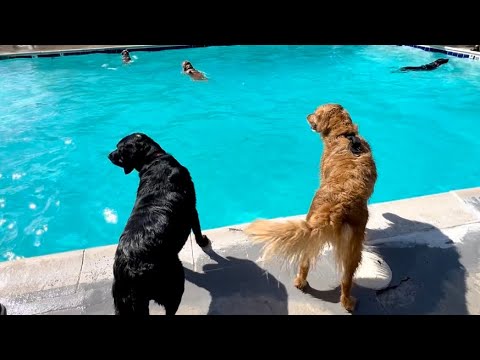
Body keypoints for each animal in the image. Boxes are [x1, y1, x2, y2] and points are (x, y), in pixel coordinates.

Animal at [109, 133, 210, 316]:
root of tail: (131, 269)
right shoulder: (192, 209)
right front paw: (203, 241)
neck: (153, 159)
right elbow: (197, 230)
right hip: (173, 284)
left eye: (119, 149)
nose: (108, 155)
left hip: (124, 303)